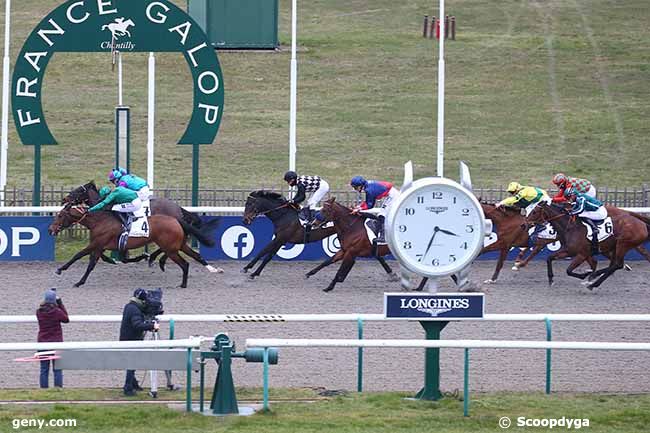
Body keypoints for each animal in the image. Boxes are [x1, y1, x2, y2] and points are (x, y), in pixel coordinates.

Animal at [50, 202, 218, 286]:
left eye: (60, 215)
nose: (50, 229)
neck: (99, 221)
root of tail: (177, 219)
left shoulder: (97, 244)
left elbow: (78, 255)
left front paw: (61, 270)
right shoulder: (100, 247)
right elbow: (92, 264)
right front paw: (81, 281)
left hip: (171, 249)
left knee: (184, 263)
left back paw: (181, 282)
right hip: (180, 245)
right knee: (195, 257)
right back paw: (212, 269)